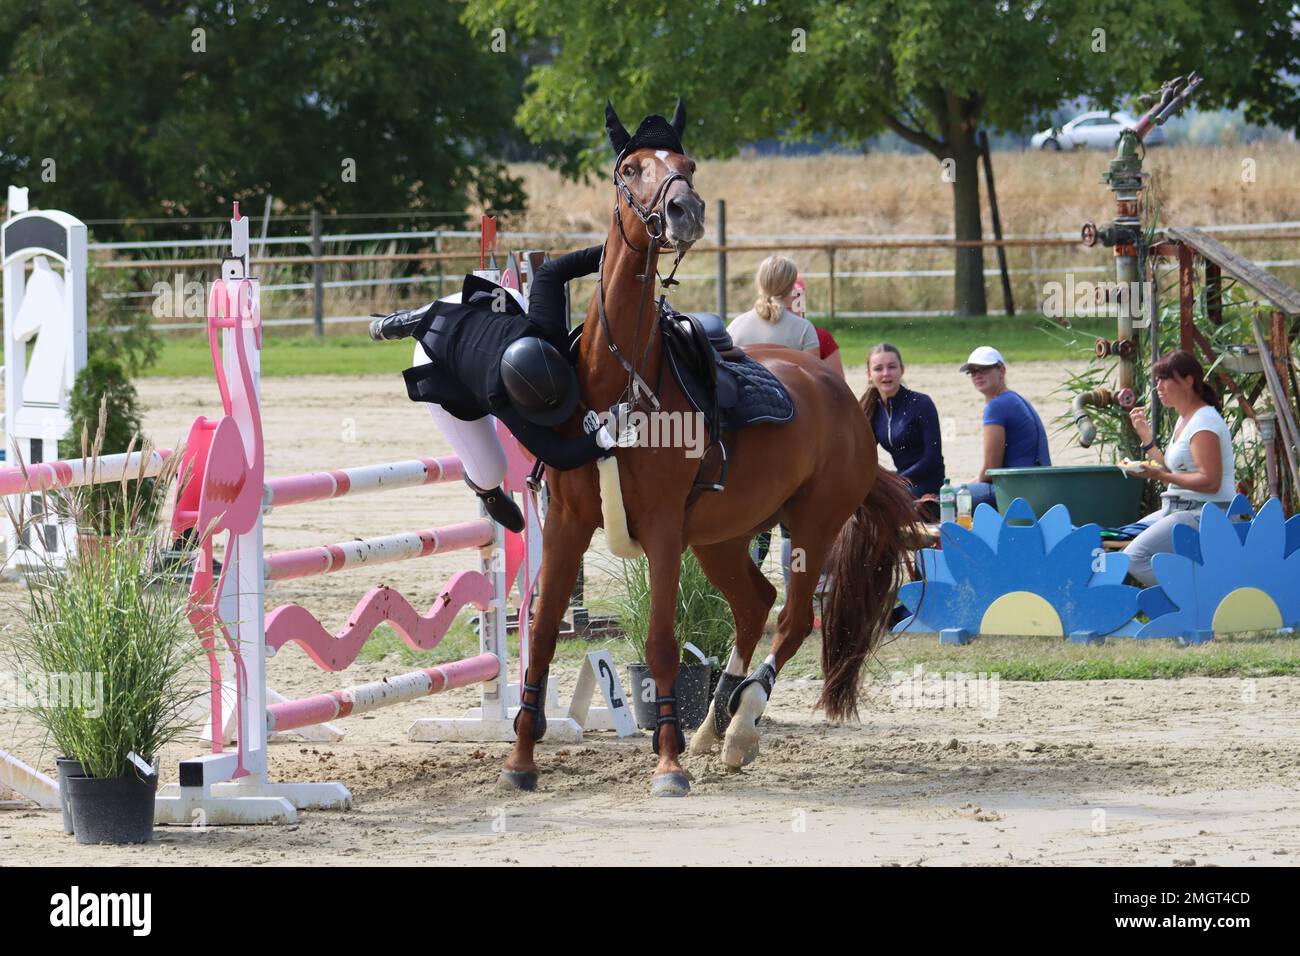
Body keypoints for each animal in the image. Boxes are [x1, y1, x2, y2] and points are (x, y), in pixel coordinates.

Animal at [496, 100, 915, 796]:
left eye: (687, 164)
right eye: (630, 168)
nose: (684, 210)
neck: (619, 382)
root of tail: (840, 395)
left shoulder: (665, 531)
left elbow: (663, 645)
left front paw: (666, 765)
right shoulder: (566, 524)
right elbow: (544, 637)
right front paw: (521, 760)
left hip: (811, 526)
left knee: (790, 620)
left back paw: (741, 727)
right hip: (722, 536)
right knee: (755, 605)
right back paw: (712, 725)